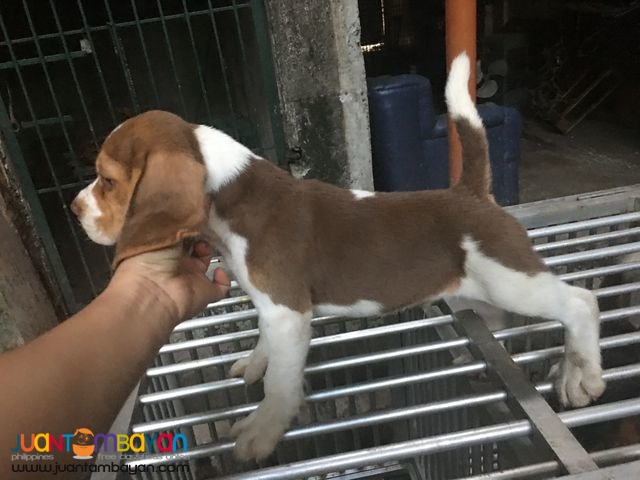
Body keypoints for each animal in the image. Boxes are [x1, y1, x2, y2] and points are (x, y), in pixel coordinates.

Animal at [71, 53, 604, 462]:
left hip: (510, 277)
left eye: (108, 181)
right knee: (498, 316)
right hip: (484, 285)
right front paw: (255, 363)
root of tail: (470, 194)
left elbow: (282, 384)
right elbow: (265, 346)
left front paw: (262, 431)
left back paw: (581, 374)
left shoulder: (288, 312)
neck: (229, 192)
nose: (74, 208)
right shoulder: (271, 307)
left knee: (579, 303)